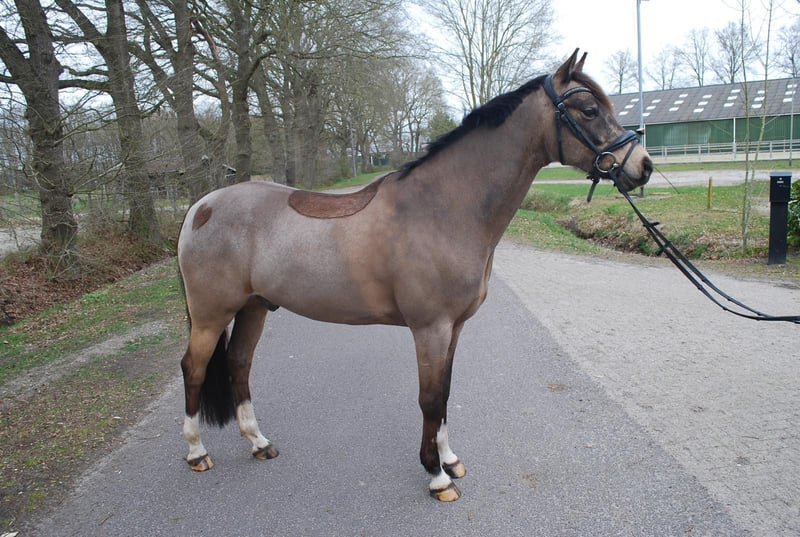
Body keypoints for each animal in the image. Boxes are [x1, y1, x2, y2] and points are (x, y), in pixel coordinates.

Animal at [176, 50, 653, 502]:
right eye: (589, 109)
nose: (643, 166)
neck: (442, 209)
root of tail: (201, 206)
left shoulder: (453, 328)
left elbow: (444, 394)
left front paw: (450, 460)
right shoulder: (430, 328)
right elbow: (429, 398)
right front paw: (436, 476)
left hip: (254, 308)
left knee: (239, 363)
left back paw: (259, 443)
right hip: (211, 315)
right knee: (194, 368)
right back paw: (197, 453)